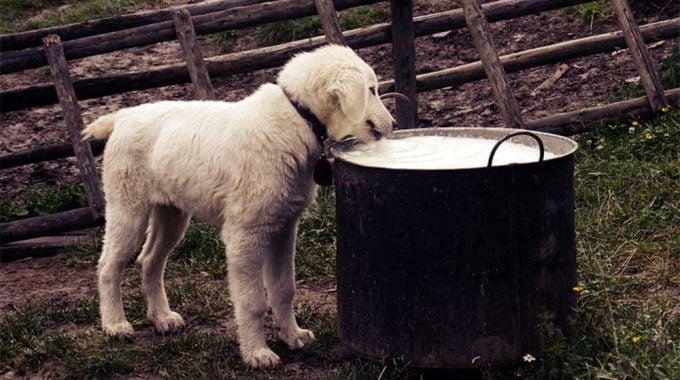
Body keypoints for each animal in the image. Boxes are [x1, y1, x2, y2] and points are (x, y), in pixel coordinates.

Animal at [82, 44, 396, 368]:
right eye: (371, 90)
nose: (393, 125)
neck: (298, 118)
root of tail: (123, 116)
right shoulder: (246, 234)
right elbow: (253, 301)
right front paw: (257, 353)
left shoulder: (285, 226)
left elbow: (284, 289)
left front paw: (292, 336)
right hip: (127, 207)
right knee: (109, 265)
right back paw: (115, 325)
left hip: (172, 213)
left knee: (149, 260)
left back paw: (162, 318)